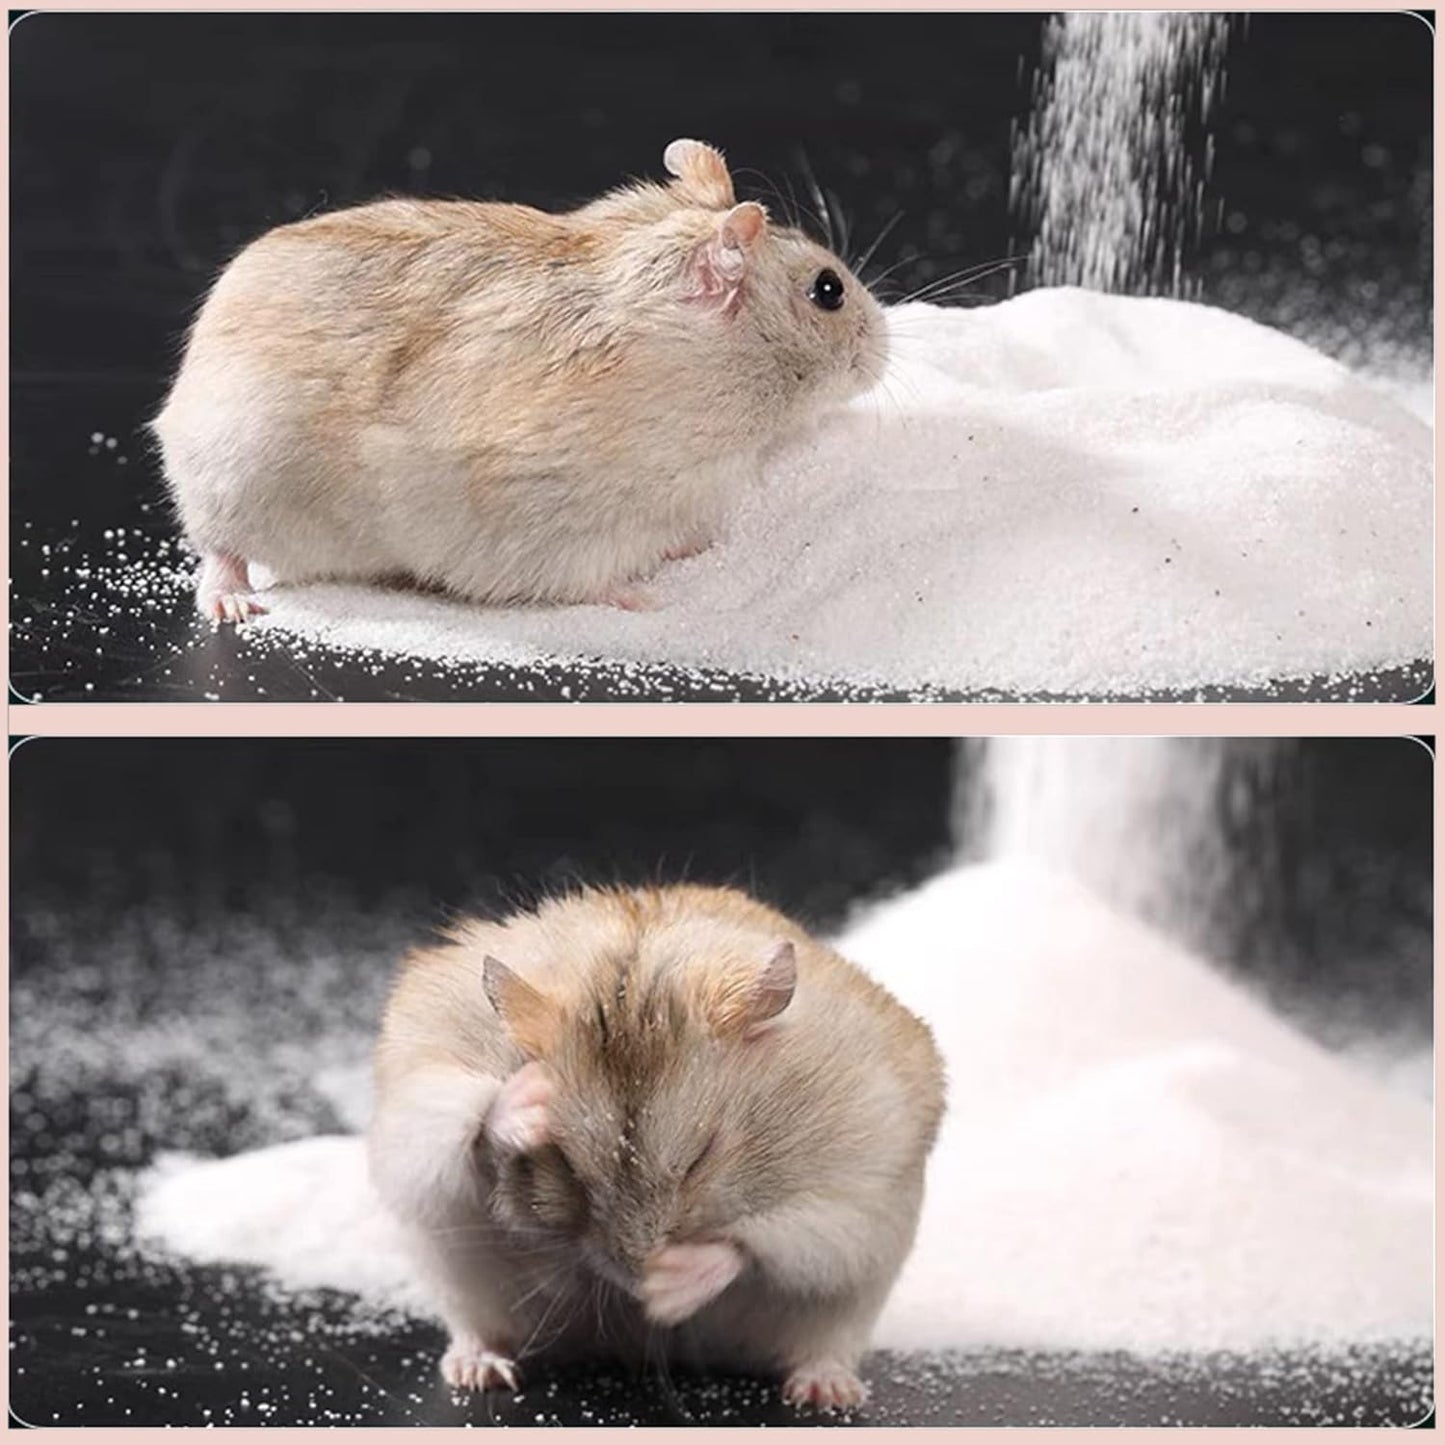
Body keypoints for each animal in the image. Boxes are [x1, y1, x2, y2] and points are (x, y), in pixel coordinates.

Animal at [151, 139, 889, 623]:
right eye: (828, 291)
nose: (884, 346)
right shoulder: (543, 510)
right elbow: (590, 574)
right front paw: (644, 595)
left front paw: (694, 543)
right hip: (229, 479)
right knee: (218, 550)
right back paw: (232, 604)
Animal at [367, 883, 945, 1413]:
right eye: (569, 1168)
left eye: (701, 1158)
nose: (636, 1281)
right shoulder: (413, 1106)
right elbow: (461, 1122)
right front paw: (533, 1097)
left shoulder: (852, 1187)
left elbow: (750, 1244)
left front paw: (667, 1290)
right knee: (478, 1331)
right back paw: (480, 1370)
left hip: (852, 1300)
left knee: (824, 1345)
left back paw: (826, 1392)